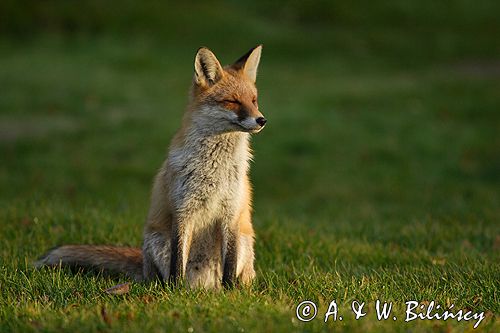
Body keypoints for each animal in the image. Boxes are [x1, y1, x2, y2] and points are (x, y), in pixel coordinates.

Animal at [34, 44, 266, 288]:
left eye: (254, 100)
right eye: (233, 101)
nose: (262, 120)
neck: (214, 169)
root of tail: (203, 288)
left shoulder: (231, 214)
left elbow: (229, 264)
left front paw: (230, 292)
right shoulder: (182, 211)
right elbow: (177, 262)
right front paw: (176, 292)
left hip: (244, 241)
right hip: (156, 241)